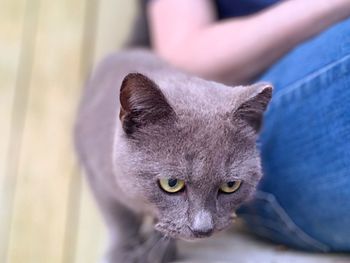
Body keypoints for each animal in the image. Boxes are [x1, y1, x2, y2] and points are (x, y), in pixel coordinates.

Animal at [73, 49, 270, 263]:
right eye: (172, 183)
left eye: (231, 185)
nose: (203, 229)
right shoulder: (98, 177)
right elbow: (120, 220)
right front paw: (122, 255)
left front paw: (160, 254)